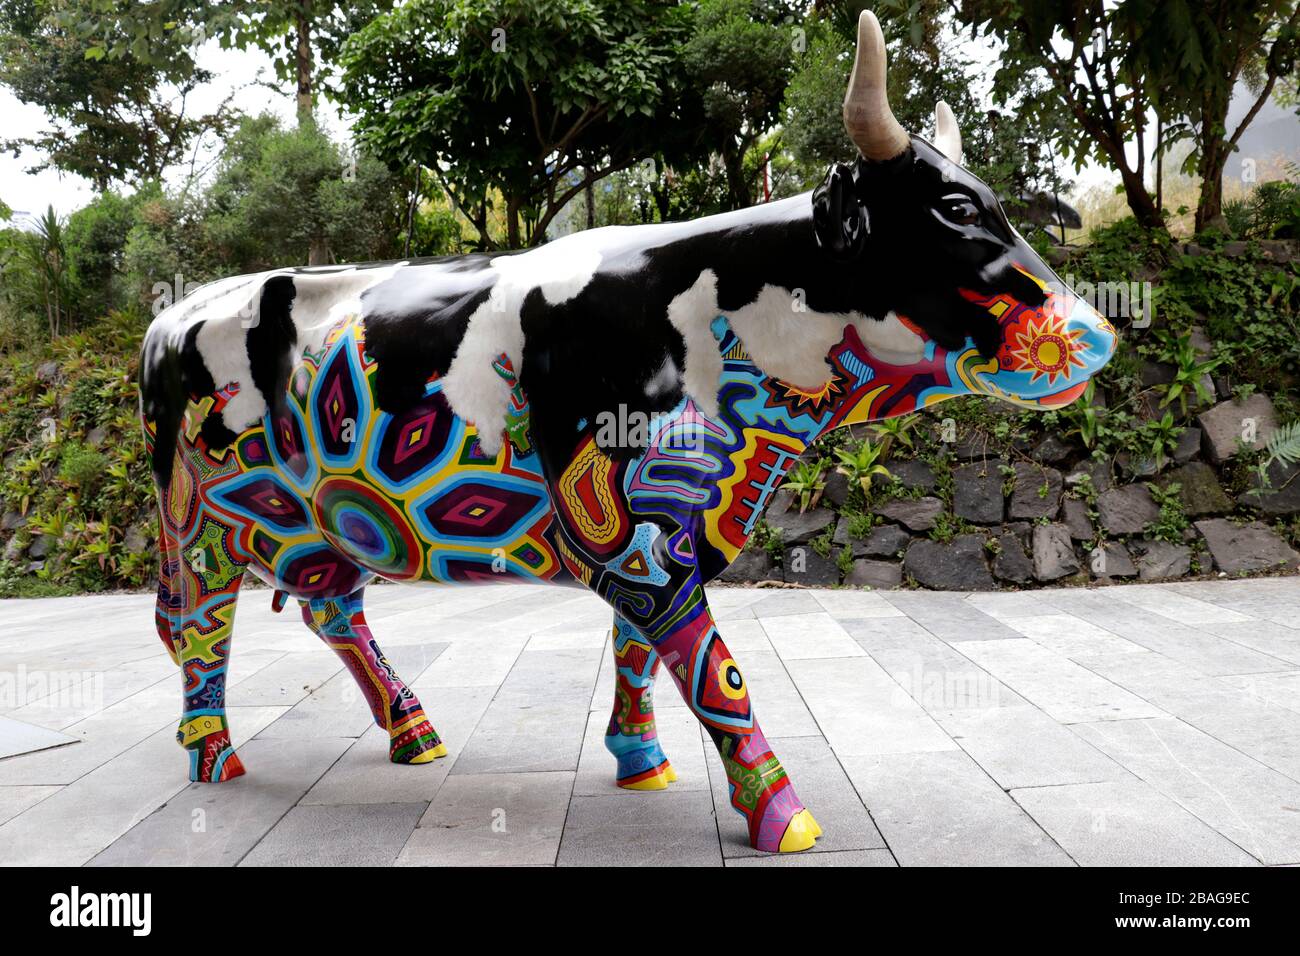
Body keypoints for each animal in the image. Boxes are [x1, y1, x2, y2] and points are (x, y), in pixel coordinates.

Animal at [139, 13, 1118, 853]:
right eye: (955, 208)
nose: (1097, 333)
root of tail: (170, 313)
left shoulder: (670, 521)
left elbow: (641, 652)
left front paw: (642, 761)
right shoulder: (621, 529)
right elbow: (713, 671)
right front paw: (781, 813)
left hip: (318, 521)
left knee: (331, 607)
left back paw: (412, 731)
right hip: (195, 519)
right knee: (196, 618)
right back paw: (212, 755)